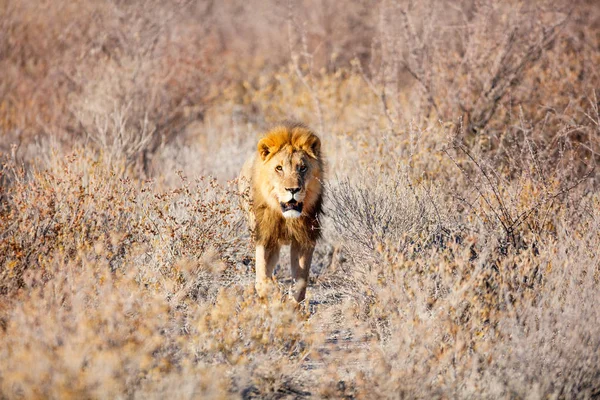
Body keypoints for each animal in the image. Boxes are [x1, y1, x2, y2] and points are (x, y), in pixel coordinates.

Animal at [239, 122, 324, 304]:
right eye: (279, 168)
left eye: (302, 167)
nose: (293, 189)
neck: (286, 219)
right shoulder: (265, 237)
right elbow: (262, 280)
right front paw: (275, 296)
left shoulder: (304, 239)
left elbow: (301, 280)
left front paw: (292, 304)